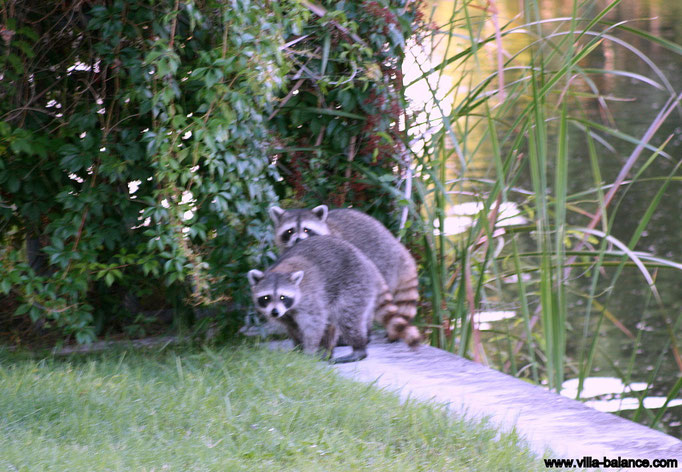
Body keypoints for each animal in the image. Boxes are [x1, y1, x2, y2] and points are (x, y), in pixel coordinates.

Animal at [247, 238, 390, 364]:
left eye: (283, 297)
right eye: (266, 297)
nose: (275, 312)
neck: (281, 270)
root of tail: (368, 262)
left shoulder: (310, 297)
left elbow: (314, 323)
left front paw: (309, 349)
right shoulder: (285, 314)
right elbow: (293, 326)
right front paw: (299, 347)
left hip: (356, 284)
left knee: (347, 318)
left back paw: (358, 348)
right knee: (331, 323)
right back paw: (327, 350)